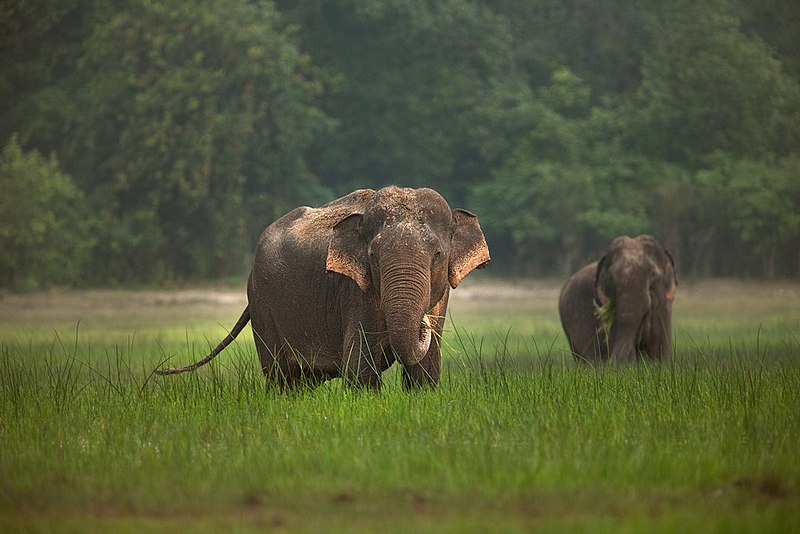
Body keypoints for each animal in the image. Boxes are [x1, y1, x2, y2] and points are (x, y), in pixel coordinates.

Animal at [156, 186, 490, 392]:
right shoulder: (354, 291)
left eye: (438, 255)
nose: (424, 324)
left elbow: (425, 371)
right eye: (372, 256)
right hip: (262, 302)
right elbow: (359, 369)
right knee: (281, 377)